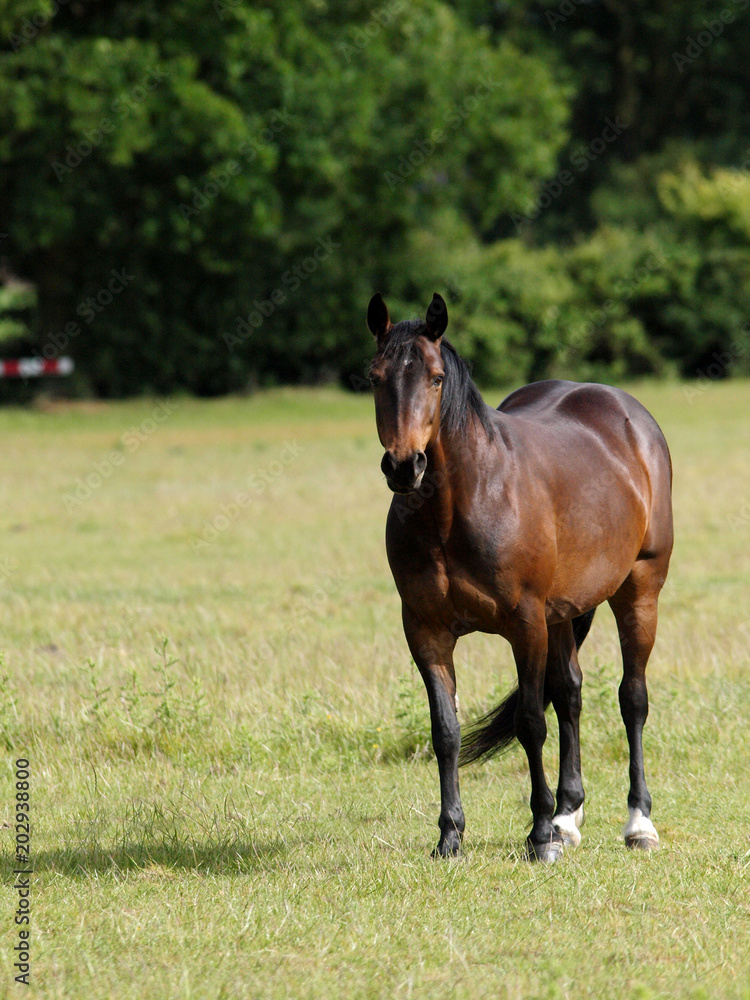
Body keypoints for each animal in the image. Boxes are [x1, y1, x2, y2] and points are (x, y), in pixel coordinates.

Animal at [367, 291, 673, 863]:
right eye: (375, 377)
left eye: (436, 378)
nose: (404, 466)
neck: (457, 507)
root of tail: (628, 414)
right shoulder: (425, 631)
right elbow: (446, 730)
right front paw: (450, 836)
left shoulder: (525, 624)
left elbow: (532, 722)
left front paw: (539, 837)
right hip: (564, 613)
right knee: (570, 694)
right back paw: (568, 816)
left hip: (639, 589)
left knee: (632, 698)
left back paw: (637, 823)